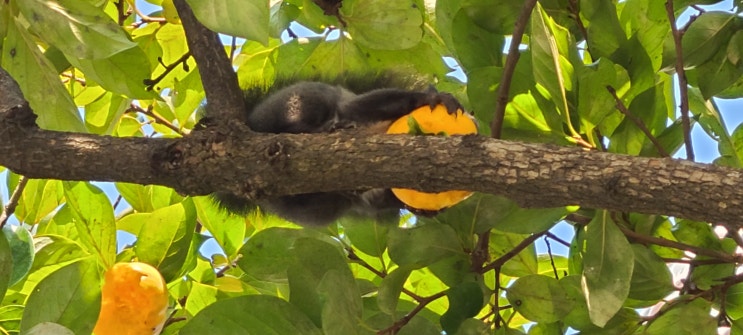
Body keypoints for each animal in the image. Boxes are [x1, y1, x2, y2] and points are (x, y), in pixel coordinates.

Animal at [212, 72, 462, 227]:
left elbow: (384, 199)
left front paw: (428, 210)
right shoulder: (359, 107)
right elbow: (374, 103)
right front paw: (432, 97)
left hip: (318, 208)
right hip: (302, 101)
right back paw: (323, 128)